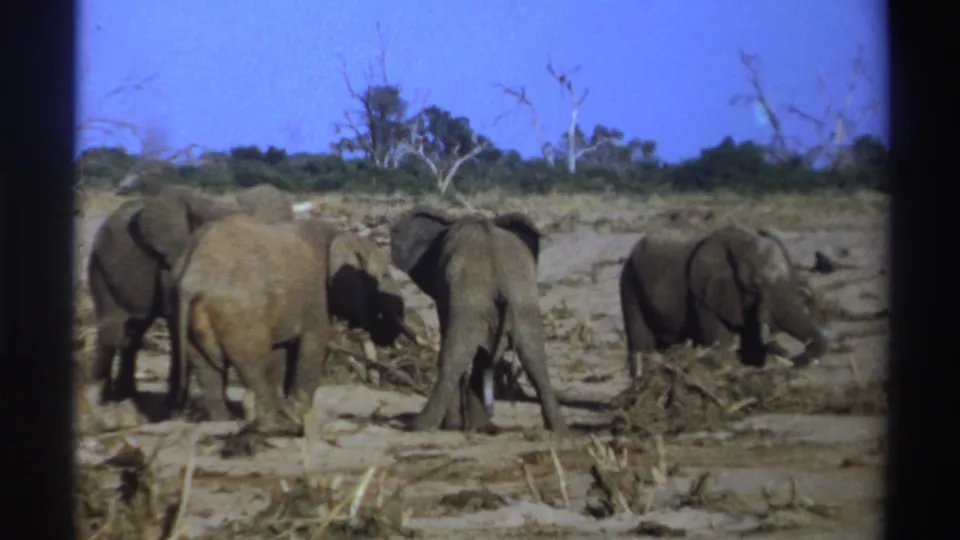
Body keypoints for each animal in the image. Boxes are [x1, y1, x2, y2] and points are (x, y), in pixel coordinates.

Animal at [85, 183, 297, 407]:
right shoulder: (172, 262)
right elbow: (176, 321)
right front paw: (174, 407)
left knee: (133, 333)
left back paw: (126, 397)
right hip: (100, 265)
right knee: (113, 330)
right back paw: (104, 399)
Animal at [170, 214, 422, 433]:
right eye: (384, 275)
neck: (337, 235)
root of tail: (192, 277)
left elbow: (282, 353)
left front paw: (288, 409)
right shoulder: (316, 297)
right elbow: (314, 344)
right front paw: (296, 413)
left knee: (207, 369)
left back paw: (224, 422)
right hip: (240, 313)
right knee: (253, 364)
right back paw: (274, 426)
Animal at [389, 204, 567, 434]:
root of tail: (500, 283)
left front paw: (458, 425)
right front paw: (476, 425)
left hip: (473, 300)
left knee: (454, 356)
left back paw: (421, 427)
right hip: (522, 301)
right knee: (534, 358)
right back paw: (558, 429)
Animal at [618, 223, 829, 379]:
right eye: (756, 285)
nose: (791, 357)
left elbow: (751, 343)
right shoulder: (703, 292)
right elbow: (720, 340)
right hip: (629, 283)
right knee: (641, 343)